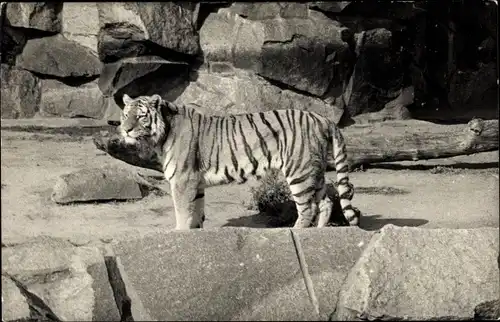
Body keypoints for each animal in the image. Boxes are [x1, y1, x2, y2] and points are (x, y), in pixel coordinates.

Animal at [117, 93, 360, 229]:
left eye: (140, 116)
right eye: (125, 115)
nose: (125, 129)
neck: (162, 132)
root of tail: (323, 118)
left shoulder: (183, 180)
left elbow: (183, 212)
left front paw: (180, 234)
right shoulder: (196, 183)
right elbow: (195, 214)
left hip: (299, 170)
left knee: (308, 208)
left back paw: (297, 231)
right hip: (314, 171)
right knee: (326, 202)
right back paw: (320, 232)